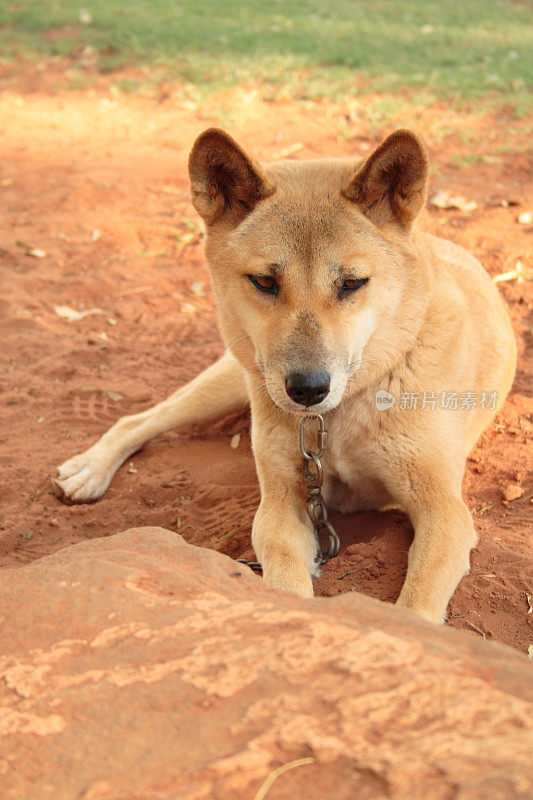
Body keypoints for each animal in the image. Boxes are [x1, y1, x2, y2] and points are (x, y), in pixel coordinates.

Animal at [54, 128, 516, 620]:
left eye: (352, 283)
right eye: (264, 282)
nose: (308, 390)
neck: (335, 419)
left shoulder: (444, 513)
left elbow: (415, 608)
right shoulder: (279, 506)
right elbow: (284, 580)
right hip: (234, 378)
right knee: (139, 419)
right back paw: (89, 469)